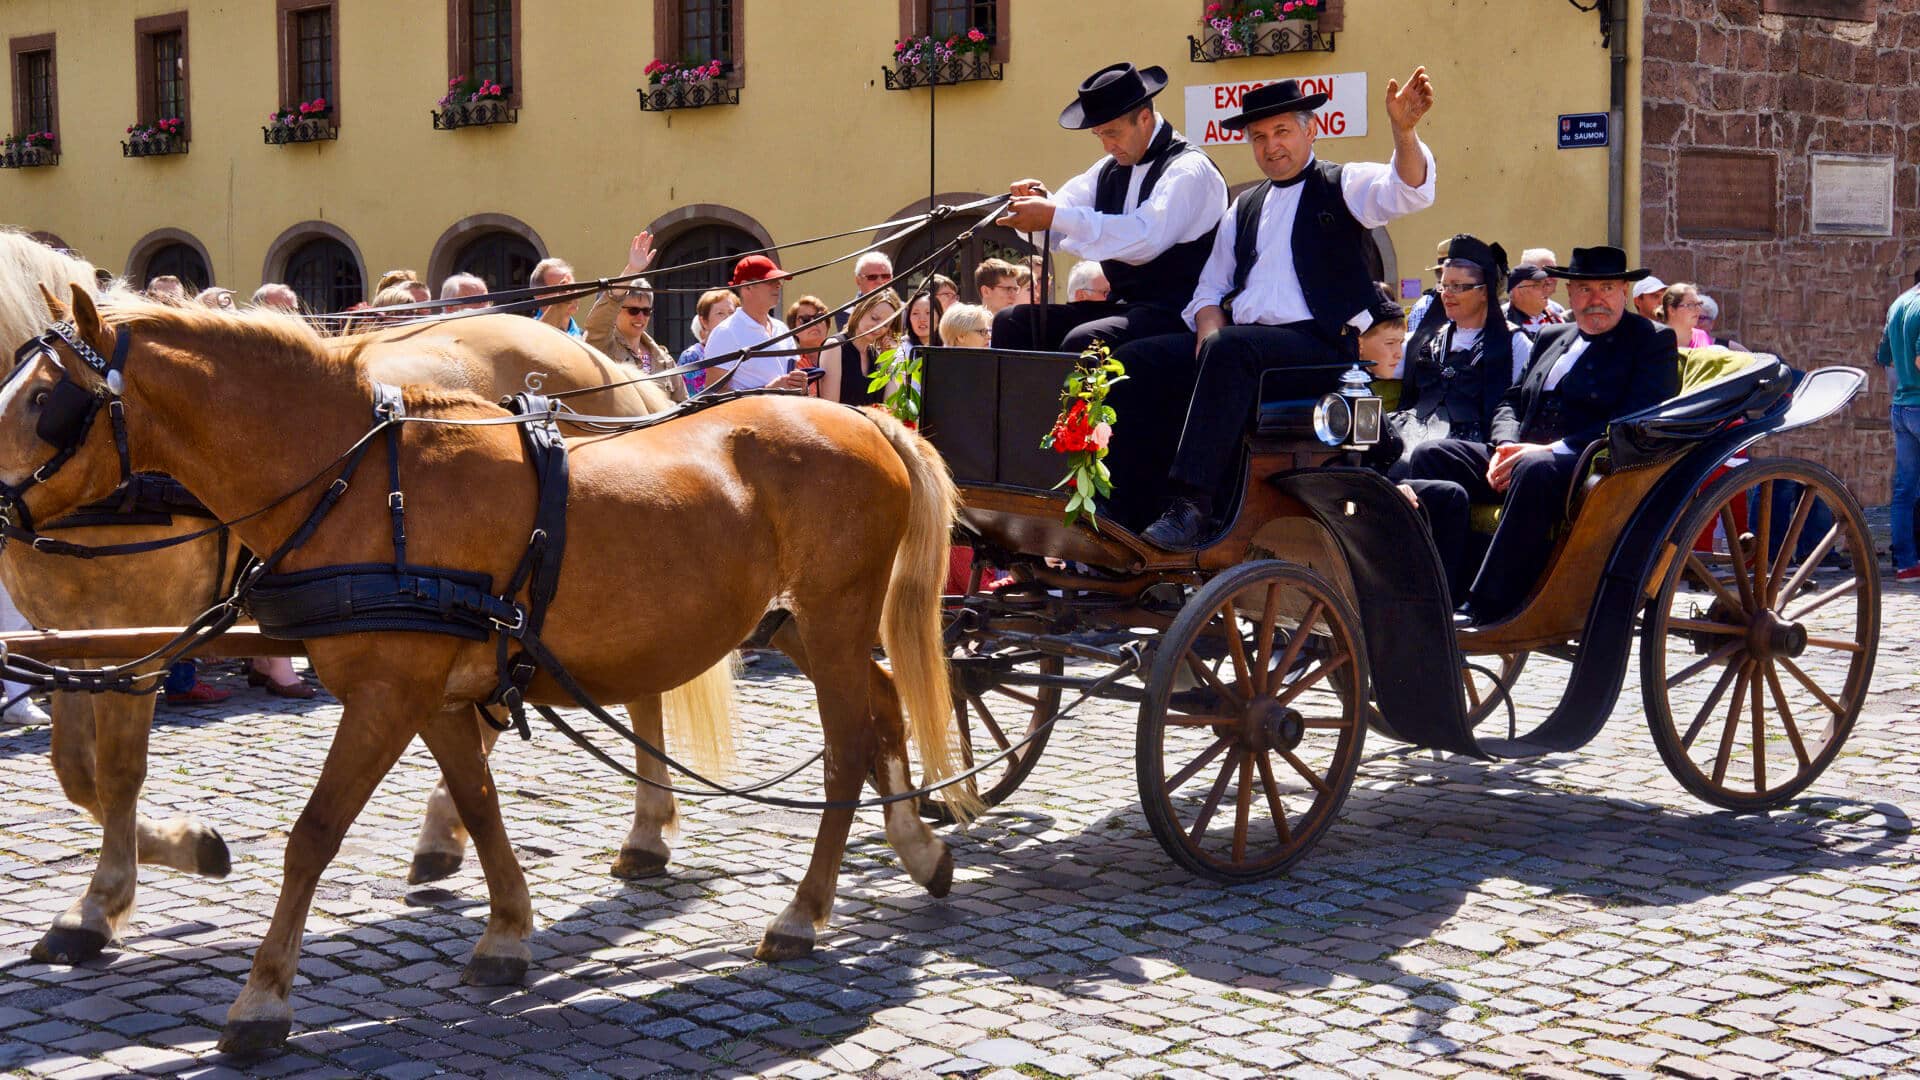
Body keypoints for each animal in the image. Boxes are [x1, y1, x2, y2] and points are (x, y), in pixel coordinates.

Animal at [0, 228, 733, 968]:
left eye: (43, 403)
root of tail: (597, 354)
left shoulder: (143, 638)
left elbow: (117, 774)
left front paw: (107, 898)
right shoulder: (74, 640)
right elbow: (75, 770)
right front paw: (168, 856)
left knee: (631, 685)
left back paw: (637, 834)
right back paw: (460, 838)